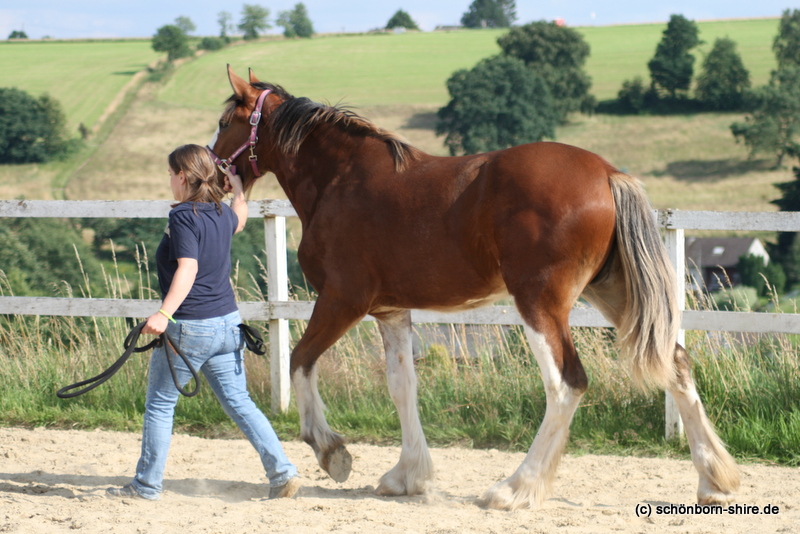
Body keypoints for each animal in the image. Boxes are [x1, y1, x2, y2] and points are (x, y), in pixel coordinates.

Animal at [208, 67, 736, 510]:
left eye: (223, 121)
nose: (210, 172)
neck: (340, 180)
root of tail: (608, 174)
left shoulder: (342, 300)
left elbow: (300, 361)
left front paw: (332, 452)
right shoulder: (390, 310)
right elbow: (402, 385)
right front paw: (408, 476)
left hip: (540, 302)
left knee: (566, 383)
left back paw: (514, 489)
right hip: (613, 294)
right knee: (676, 365)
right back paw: (714, 481)